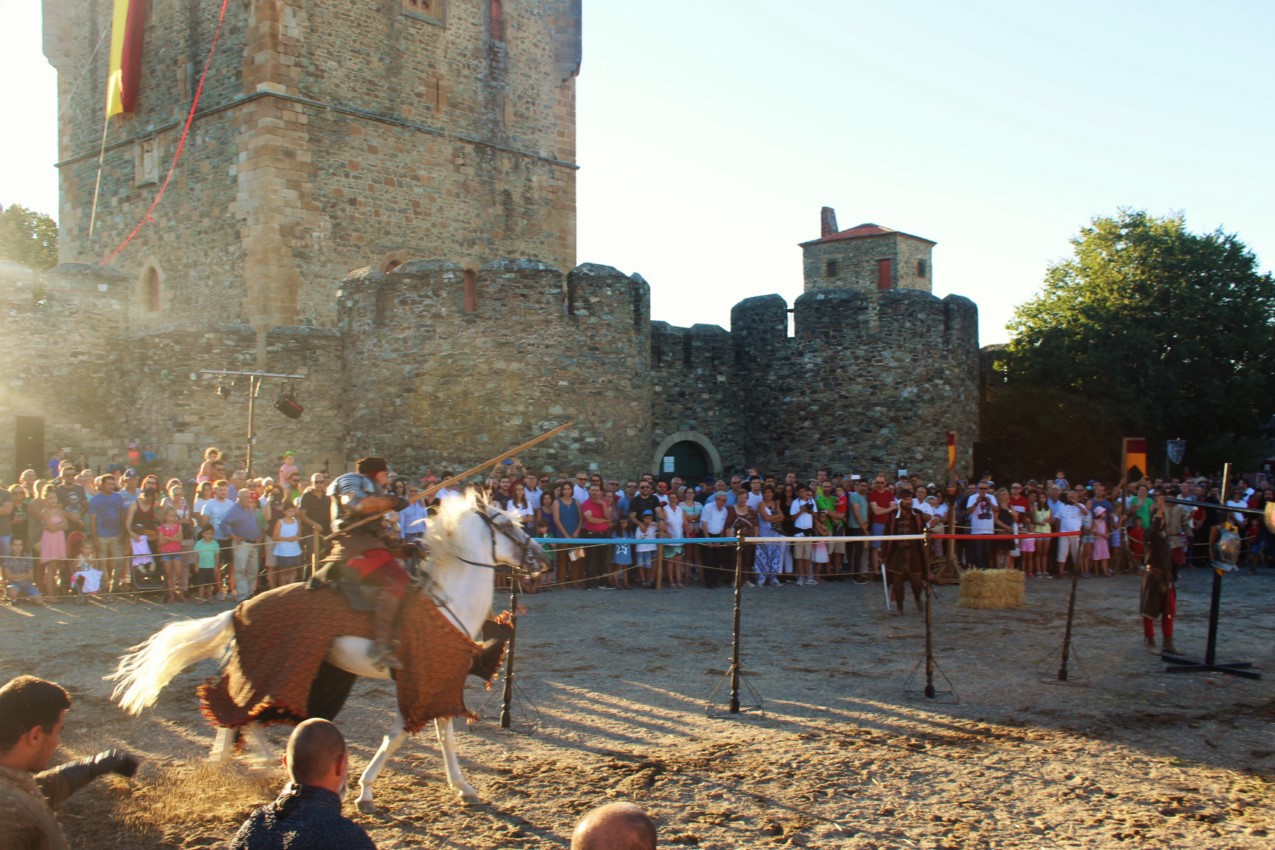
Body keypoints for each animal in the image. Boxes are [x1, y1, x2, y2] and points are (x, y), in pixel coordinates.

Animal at [108, 494, 543, 815]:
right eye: (507, 525)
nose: (538, 557)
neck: (445, 598)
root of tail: (241, 608)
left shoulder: (438, 680)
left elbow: (443, 735)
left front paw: (463, 787)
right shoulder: (425, 681)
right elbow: (400, 735)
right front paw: (365, 791)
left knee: (234, 716)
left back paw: (232, 762)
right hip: (272, 670)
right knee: (244, 716)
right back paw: (267, 761)